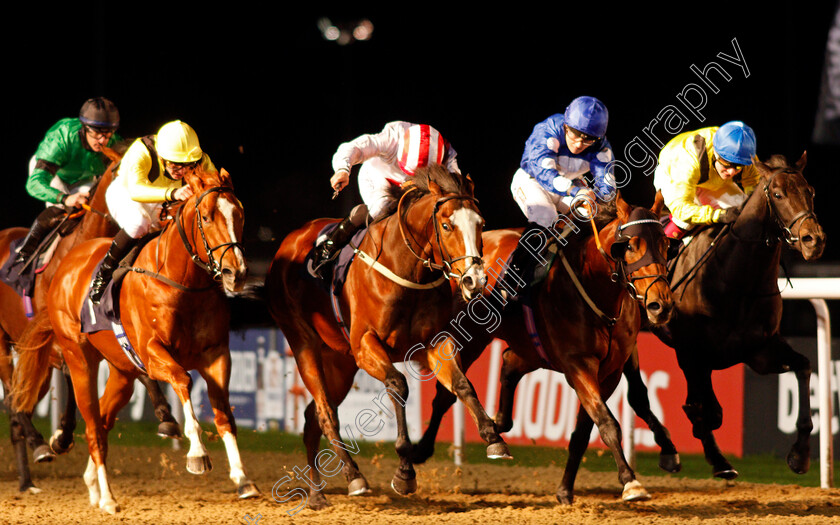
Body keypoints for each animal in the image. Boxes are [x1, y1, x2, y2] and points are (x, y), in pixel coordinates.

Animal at [0, 145, 177, 494]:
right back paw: (38, 443)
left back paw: (27, 480)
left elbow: (140, 367)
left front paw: (166, 416)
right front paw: (61, 434)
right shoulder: (61, 337)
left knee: (19, 402)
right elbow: (73, 376)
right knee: (13, 398)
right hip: (5, 345)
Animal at [11, 165, 256, 512]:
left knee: (103, 419)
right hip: (79, 358)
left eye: (240, 214)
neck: (182, 282)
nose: (237, 273)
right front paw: (196, 454)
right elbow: (183, 381)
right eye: (207, 217)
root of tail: (64, 268)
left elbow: (224, 413)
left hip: (121, 371)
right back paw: (107, 496)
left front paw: (242, 478)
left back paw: (93, 485)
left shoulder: (216, 354)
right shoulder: (153, 354)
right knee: (93, 428)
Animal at [266, 164, 508, 508]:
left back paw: (316, 493)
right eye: (446, 225)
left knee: (312, 417)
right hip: (304, 343)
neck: (406, 269)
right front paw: (405, 471)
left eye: (481, 224)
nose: (475, 280)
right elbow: (398, 385)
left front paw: (493, 437)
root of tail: (289, 242)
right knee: (326, 414)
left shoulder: (435, 342)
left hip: (340, 361)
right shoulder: (367, 344)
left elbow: (462, 384)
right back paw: (353, 475)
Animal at [406, 192, 676, 504]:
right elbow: (607, 422)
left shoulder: (611, 369)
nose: (661, 305)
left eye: (665, 244)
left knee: (508, 363)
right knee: (445, 394)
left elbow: (590, 426)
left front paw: (565, 490)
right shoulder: (579, 365)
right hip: (471, 337)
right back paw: (423, 449)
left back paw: (498, 425)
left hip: (528, 347)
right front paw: (630, 481)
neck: (595, 288)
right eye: (631, 245)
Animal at [648, 151, 828, 478]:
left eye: (810, 191)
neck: (735, 279)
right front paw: (717, 460)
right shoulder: (690, 352)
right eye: (778, 194)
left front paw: (800, 455)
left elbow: (805, 366)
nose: (814, 240)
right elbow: (701, 408)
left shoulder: (760, 351)